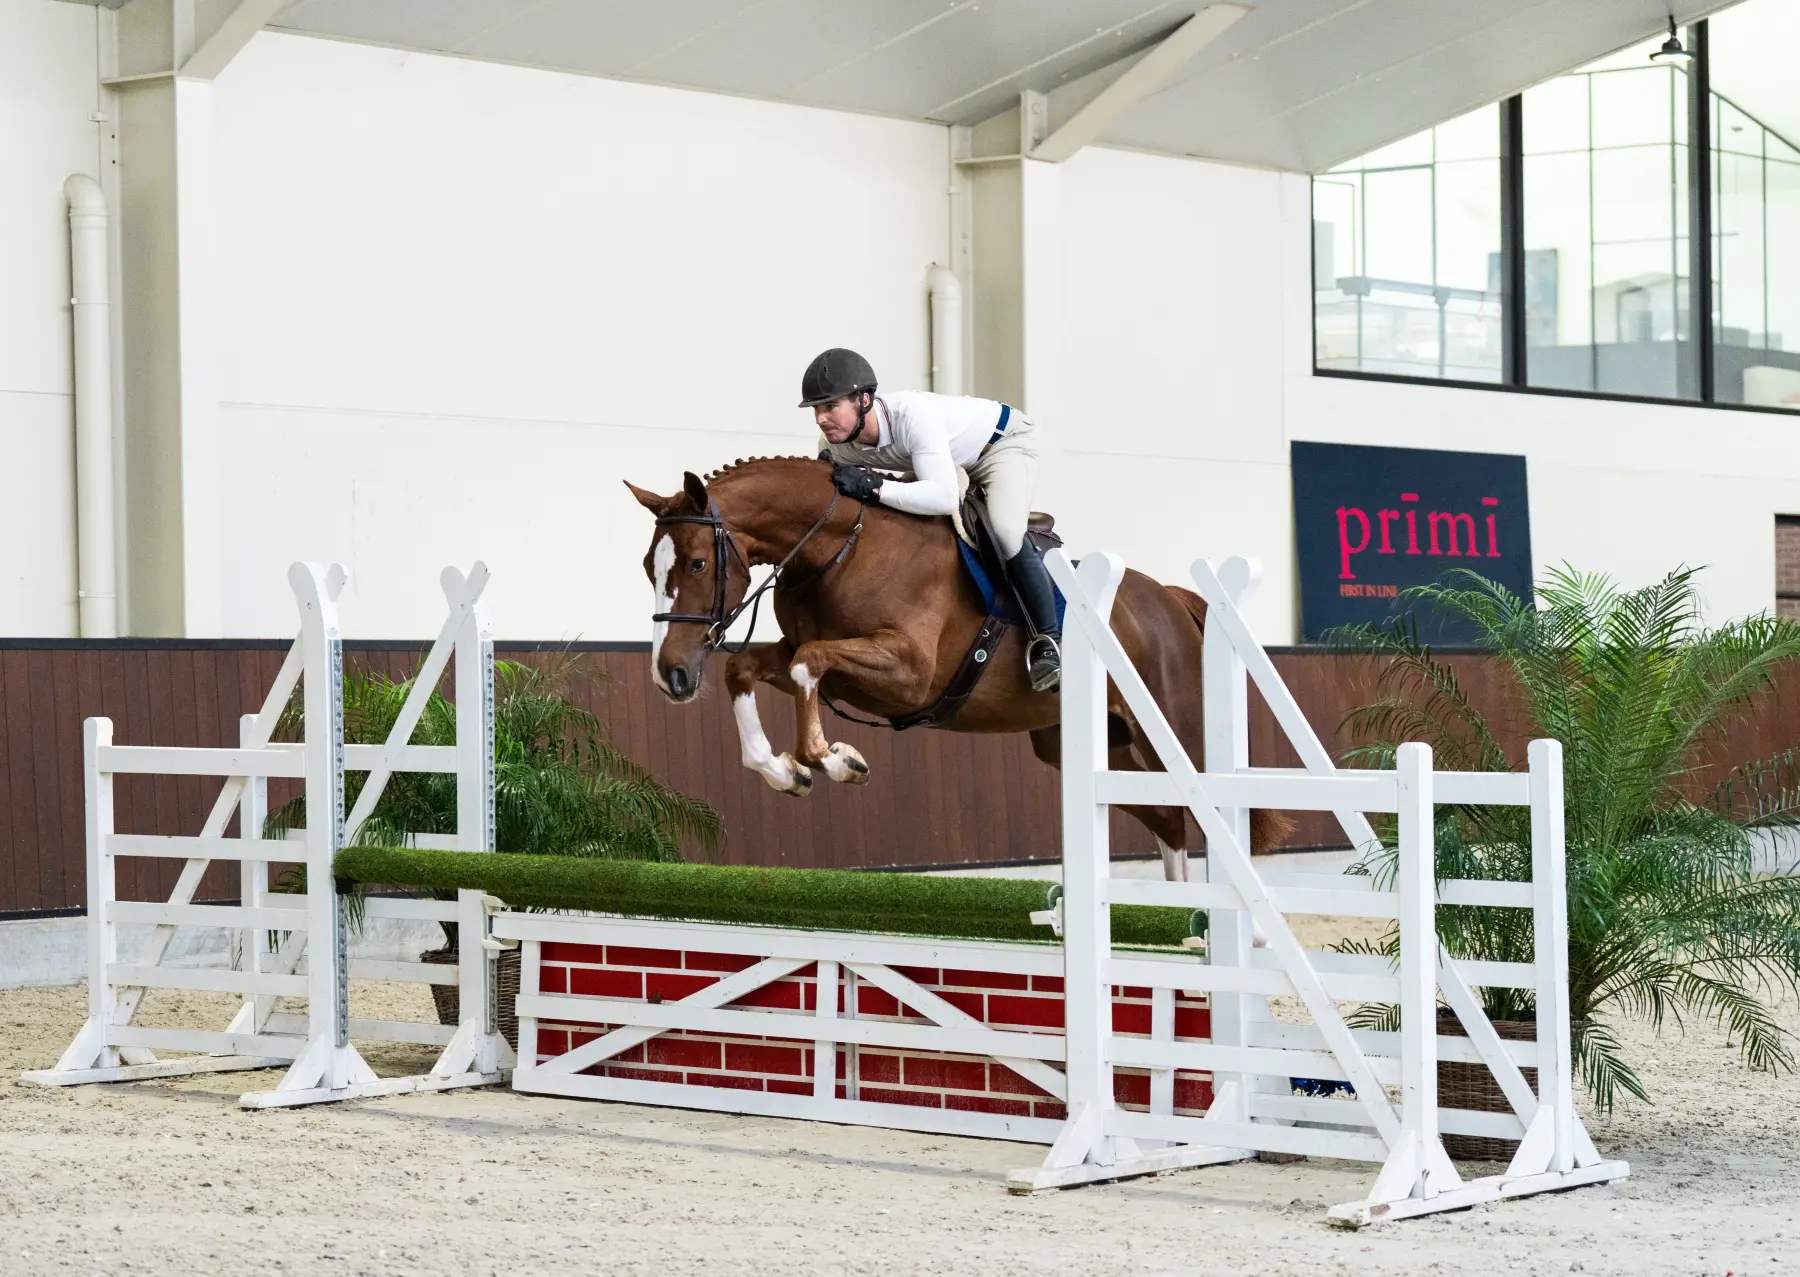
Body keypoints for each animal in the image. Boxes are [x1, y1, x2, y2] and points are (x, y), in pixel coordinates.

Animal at [625, 457, 1292, 877]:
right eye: (648, 565)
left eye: (696, 564)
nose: (670, 676)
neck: (840, 545)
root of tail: (1171, 601)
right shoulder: (816, 656)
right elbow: (753, 670)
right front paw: (785, 771)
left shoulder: (909, 673)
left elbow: (808, 667)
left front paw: (836, 760)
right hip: (1091, 745)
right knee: (1171, 823)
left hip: (1177, 733)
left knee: (1212, 816)